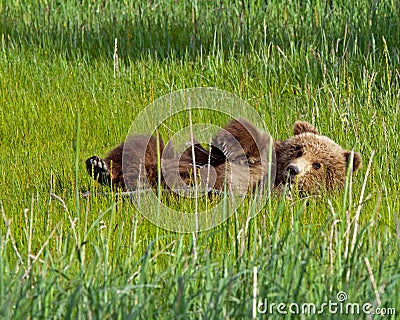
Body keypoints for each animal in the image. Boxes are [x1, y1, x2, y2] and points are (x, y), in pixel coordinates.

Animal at [86, 119, 362, 194]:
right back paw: (99, 167)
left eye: (318, 165)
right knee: (142, 146)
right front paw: (226, 143)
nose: (293, 170)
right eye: (299, 149)